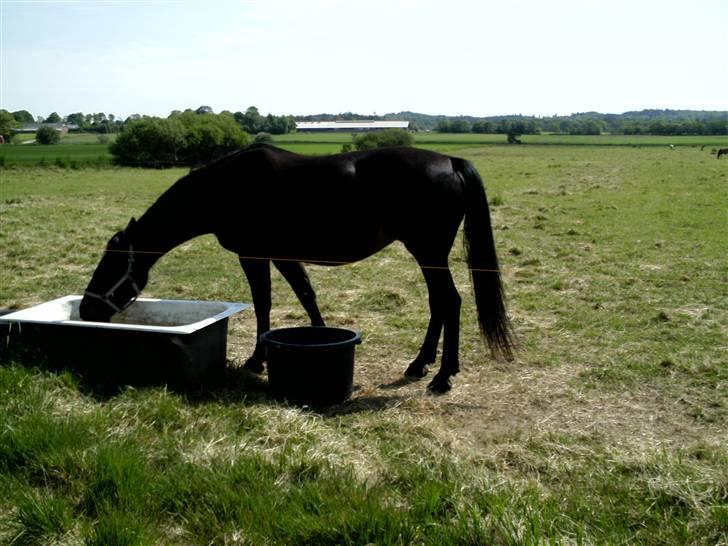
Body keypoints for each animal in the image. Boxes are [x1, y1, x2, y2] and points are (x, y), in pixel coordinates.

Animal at [79, 144, 512, 392]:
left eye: (110, 265)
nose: (86, 309)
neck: (226, 187)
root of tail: (449, 161)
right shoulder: (284, 256)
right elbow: (306, 295)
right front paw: (318, 339)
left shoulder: (254, 256)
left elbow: (265, 304)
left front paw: (257, 361)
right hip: (427, 254)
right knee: (439, 303)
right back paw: (420, 365)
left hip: (429, 252)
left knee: (449, 301)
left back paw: (443, 376)